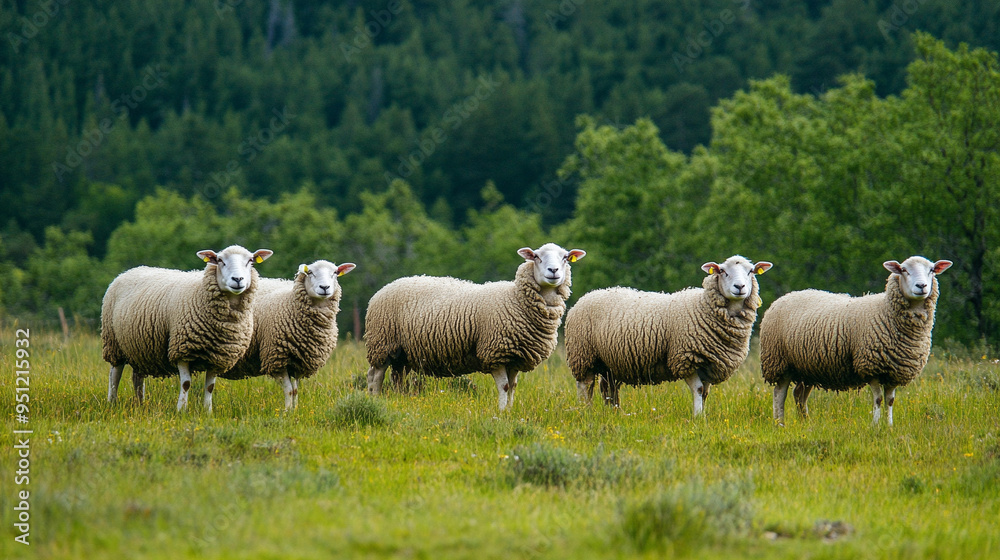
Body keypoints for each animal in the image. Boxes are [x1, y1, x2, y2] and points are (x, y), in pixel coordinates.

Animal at [102, 245, 273, 412]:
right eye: (220, 260)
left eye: (250, 261)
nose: (237, 279)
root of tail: (131, 270)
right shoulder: (182, 350)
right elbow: (186, 384)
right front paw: (182, 410)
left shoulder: (218, 355)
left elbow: (210, 387)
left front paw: (207, 411)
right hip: (113, 342)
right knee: (114, 375)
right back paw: (112, 402)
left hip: (139, 348)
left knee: (137, 377)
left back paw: (140, 403)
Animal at [220, 259, 356, 410]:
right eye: (310, 272)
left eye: (335, 272)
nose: (324, 287)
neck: (290, 303)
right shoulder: (276, 358)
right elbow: (289, 390)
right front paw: (286, 411)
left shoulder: (299, 361)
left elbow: (295, 390)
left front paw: (295, 410)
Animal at [364, 243, 586, 410]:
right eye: (537, 257)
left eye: (565, 257)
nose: (553, 271)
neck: (515, 299)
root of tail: (383, 289)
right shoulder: (494, 353)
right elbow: (505, 387)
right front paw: (502, 412)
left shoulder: (515, 356)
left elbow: (514, 386)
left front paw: (510, 410)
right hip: (382, 343)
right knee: (375, 376)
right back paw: (374, 400)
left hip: (402, 352)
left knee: (397, 377)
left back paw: (399, 400)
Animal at [565, 256, 772, 416]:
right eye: (722, 271)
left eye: (751, 271)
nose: (740, 286)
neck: (703, 306)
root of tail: (587, 295)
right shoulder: (685, 358)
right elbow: (698, 389)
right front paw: (698, 417)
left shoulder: (709, 362)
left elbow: (705, 392)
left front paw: (703, 414)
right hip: (583, 355)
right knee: (585, 386)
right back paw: (586, 411)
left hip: (610, 361)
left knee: (608, 387)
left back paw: (614, 412)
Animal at [760, 256, 952, 426]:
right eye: (904, 270)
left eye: (931, 270)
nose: (922, 286)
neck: (885, 310)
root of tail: (785, 296)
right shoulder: (870, 365)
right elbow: (878, 399)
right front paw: (875, 425)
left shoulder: (895, 369)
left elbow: (890, 400)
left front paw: (889, 426)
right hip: (779, 362)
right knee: (779, 394)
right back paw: (780, 424)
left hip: (807, 367)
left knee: (799, 394)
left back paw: (805, 422)